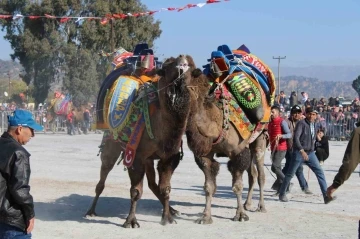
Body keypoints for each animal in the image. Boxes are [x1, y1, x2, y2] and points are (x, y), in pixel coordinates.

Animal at [84, 54, 197, 228]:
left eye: (191, 66)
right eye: (167, 66)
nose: (182, 61)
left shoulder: (169, 157)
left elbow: (165, 188)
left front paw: (167, 218)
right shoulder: (136, 156)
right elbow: (136, 191)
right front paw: (131, 221)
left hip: (148, 159)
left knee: (153, 184)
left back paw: (173, 210)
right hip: (111, 144)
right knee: (103, 177)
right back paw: (90, 211)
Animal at [186, 69, 268, 224]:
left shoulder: (238, 152)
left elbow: (237, 186)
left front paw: (240, 215)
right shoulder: (204, 155)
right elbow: (208, 186)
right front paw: (205, 216)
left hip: (260, 139)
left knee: (260, 174)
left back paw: (261, 207)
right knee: (252, 174)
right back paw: (247, 204)